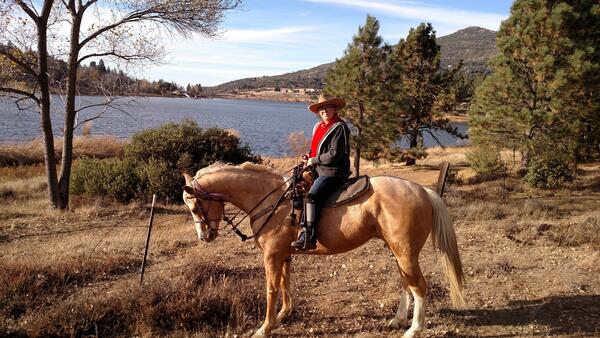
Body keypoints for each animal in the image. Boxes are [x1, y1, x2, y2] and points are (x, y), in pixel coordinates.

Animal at [182, 162, 464, 336]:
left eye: (195, 207)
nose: (205, 236)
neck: (273, 200)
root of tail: (423, 191)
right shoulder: (283, 254)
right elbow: (285, 284)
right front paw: (284, 315)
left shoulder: (271, 256)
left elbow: (272, 289)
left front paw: (264, 328)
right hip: (398, 252)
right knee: (407, 284)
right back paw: (397, 320)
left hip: (405, 253)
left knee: (420, 287)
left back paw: (414, 329)